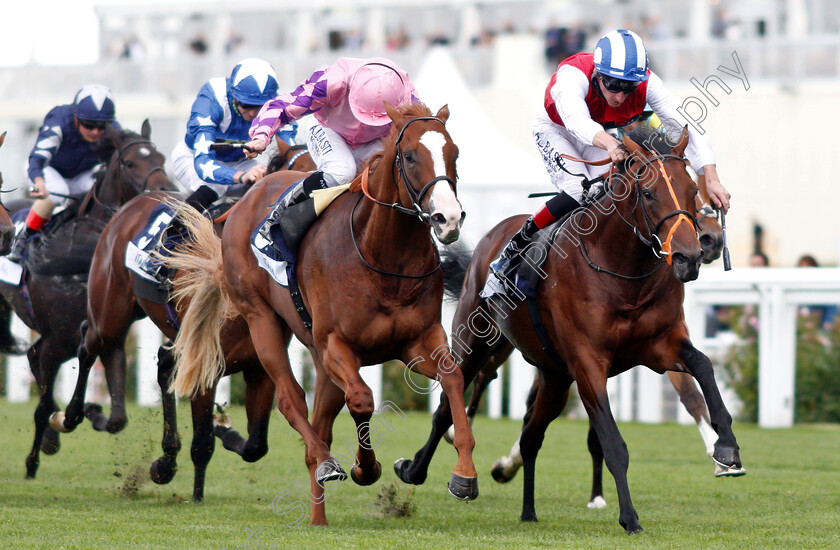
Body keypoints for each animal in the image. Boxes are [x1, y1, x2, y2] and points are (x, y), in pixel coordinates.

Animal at [0, 119, 176, 478]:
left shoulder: (105, 336)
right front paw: (35, 457)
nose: (168, 189)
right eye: (130, 163)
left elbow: (117, 418)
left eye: (160, 158)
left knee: (34, 358)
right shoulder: (61, 340)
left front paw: (88, 415)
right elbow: (43, 406)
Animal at [49, 147, 316, 504]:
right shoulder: (206, 366)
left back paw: (151, 446)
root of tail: (131, 204)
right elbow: (203, 442)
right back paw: (72, 416)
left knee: (153, 363)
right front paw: (197, 493)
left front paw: (222, 430)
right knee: (90, 345)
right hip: (110, 310)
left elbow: (255, 446)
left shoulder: (260, 369)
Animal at [166, 102, 472, 528]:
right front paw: (364, 467)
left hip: (315, 353)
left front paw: (464, 475)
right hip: (262, 321)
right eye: (410, 156)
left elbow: (454, 378)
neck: (383, 256)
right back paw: (325, 466)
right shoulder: (336, 345)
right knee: (292, 401)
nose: (449, 218)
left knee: (321, 422)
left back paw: (318, 516)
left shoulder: (419, 340)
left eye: (454, 154)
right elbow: (361, 399)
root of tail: (245, 201)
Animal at [394, 126, 740, 536]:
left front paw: (727, 448)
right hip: (476, 342)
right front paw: (629, 517)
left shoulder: (661, 345)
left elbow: (703, 366)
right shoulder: (588, 363)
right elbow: (613, 443)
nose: (691, 256)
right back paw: (421, 472)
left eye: (692, 190)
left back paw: (527, 510)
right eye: (649, 193)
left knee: (531, 435)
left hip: (555, 378)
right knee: (448, 407)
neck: (623, 272)